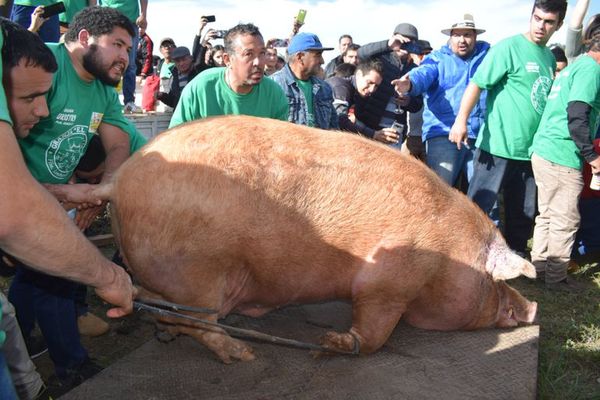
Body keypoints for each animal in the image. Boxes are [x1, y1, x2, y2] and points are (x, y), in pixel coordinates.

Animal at [108, 115, 540, 362]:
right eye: (495, 280)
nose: (533, 308)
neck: (447, 253)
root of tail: (118, 179)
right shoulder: (386, 284)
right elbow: (372, 336)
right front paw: (329, 345)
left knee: (161, 309)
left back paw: (168, 334)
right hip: (198, 277)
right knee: (200, 322)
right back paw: (245, 355)